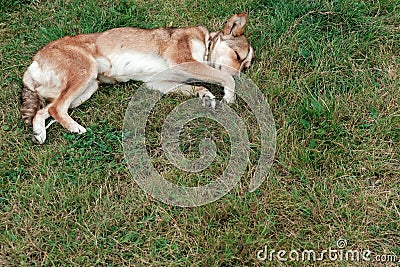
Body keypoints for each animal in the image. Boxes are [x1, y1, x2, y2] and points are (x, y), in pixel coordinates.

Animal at [20, 13, 253, 144]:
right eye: (238, 56)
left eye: (246, 66)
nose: (241, 76)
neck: (206, 43)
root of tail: (34, 62)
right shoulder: (184, 61)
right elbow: (224, 76)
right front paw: (229, 96)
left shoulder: (159, 82)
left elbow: (196, 87)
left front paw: (205, 95)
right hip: (86, 72)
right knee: (56, 108)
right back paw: (75, 128)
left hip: (86, 89)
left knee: (45, 110)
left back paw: (39, 133)